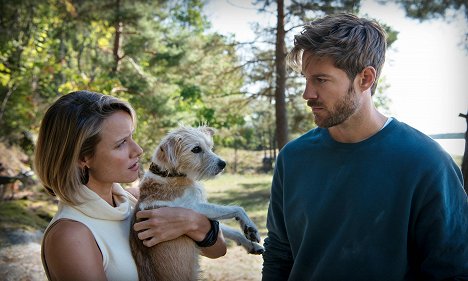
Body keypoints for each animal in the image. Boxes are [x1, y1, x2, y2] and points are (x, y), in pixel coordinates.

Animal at [130, 125, 266, 280]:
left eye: (210, 146)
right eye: (196, 149)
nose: (223, 164)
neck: (167, 175)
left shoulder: (203, 217)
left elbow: (232, 230)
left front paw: (250, 242)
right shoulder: (193, 208)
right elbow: (237, 208)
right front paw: (251, 227)